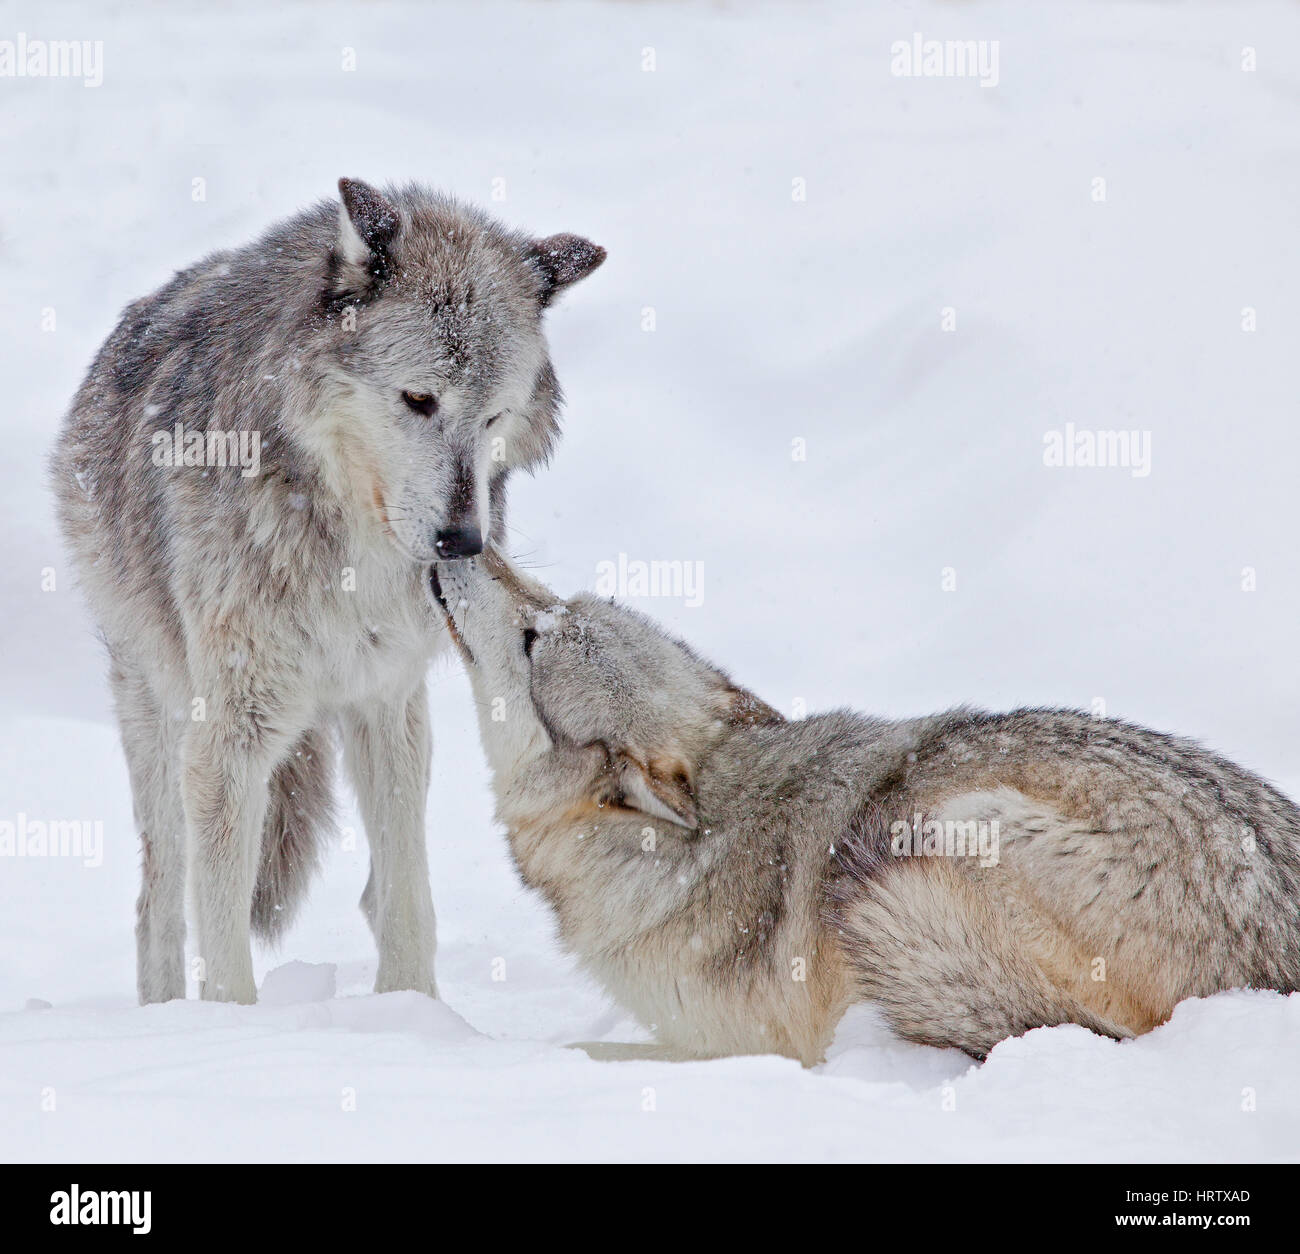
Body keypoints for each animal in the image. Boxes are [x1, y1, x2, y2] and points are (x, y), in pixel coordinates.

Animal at [47, 176, 603, 1003]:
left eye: (495, 415)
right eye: (417, 400)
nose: (462, 542)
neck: (349, 551)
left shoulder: (387, 702)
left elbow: (407, 902)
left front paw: (412, 1012)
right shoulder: (230, 737)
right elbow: (222, 943)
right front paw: (231, 1025)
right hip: (161, 716)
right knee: (159, 901)